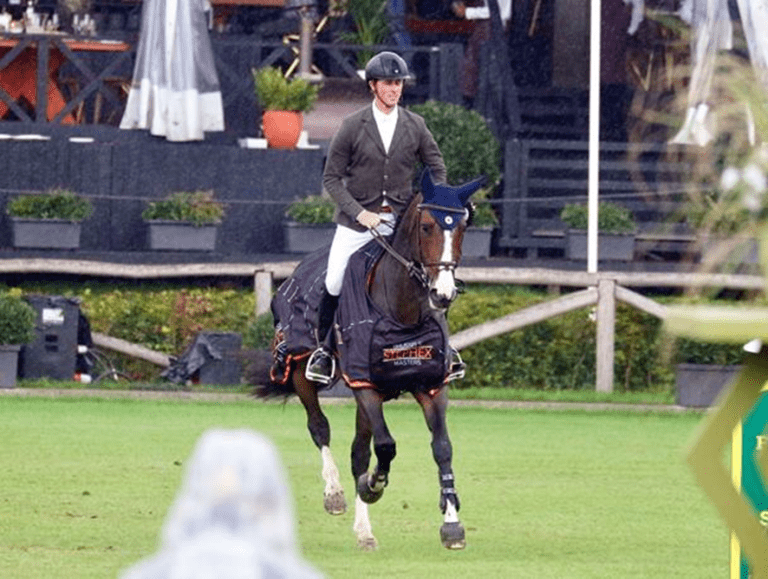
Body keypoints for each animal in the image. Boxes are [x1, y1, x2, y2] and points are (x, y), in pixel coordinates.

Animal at [250, 170, 480, 552]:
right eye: (427, 227)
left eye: (463, 226)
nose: (443, 294)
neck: (402, 312)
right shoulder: (364, 384)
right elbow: (385, 446)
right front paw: (373, 486)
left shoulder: (430, 386)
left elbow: (442, 448)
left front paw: (452, 523)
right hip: (301, 371)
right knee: (319, 427)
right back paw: (336, 494)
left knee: (359, 450)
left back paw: (364, 530)